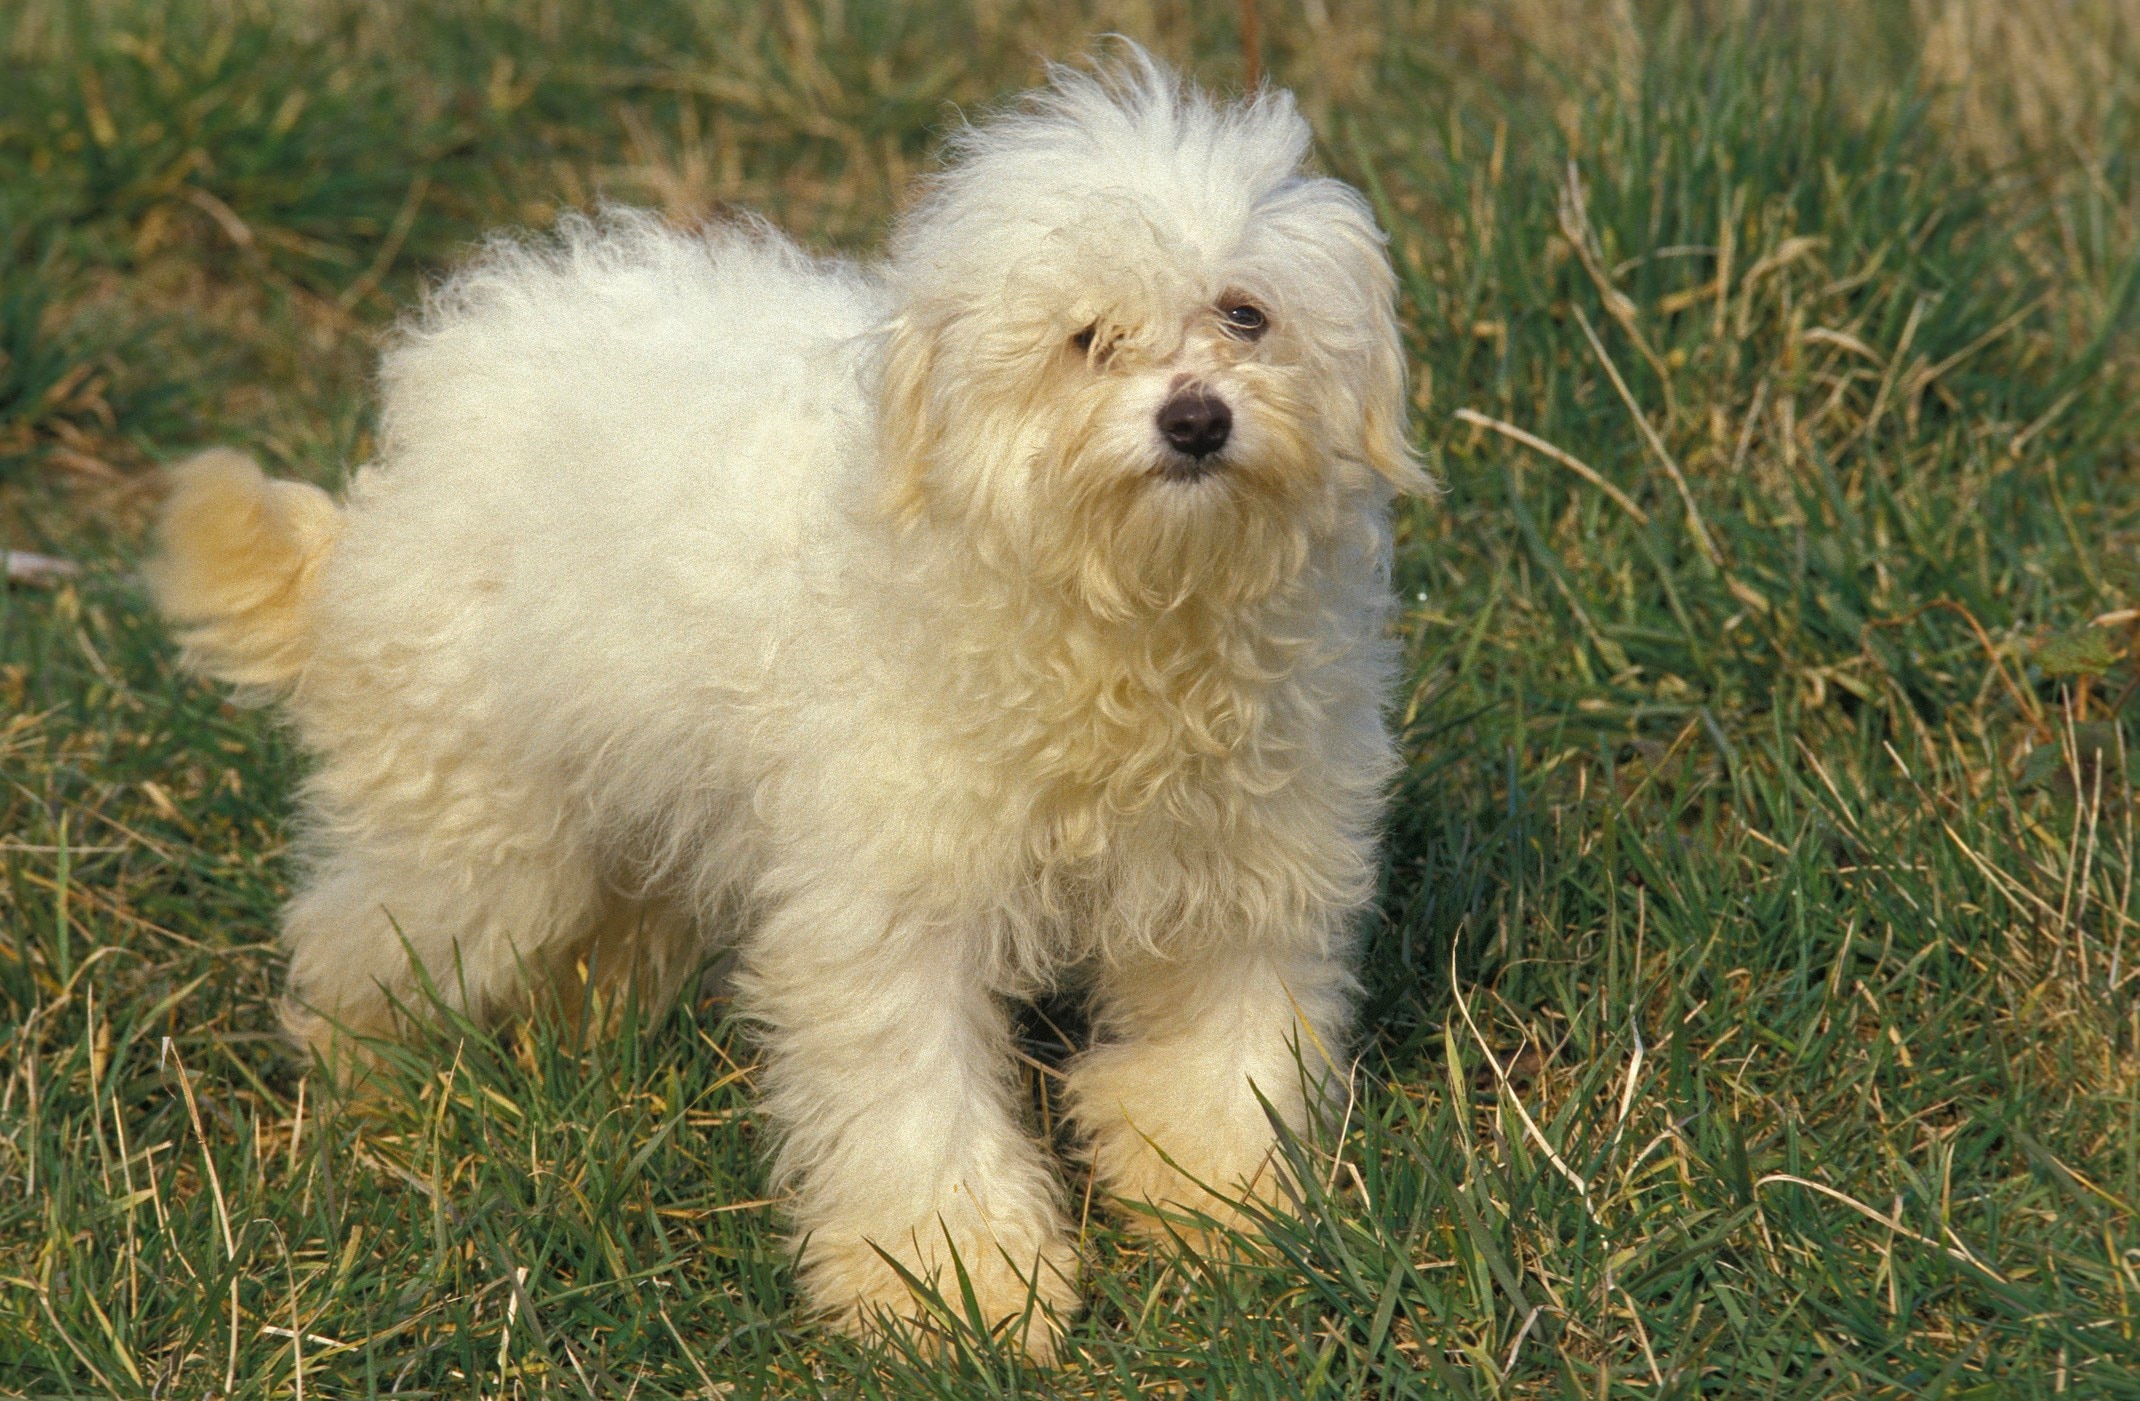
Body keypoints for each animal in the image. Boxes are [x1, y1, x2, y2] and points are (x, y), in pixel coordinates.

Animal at [150, 52, 1429, 1360]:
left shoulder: (1242, 880)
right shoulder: (886, 906)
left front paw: (1224, 1220)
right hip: (477, 833)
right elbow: (914, 1102)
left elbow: (1215, 1065)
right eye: (1088, 339)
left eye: (1244, 314)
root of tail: (401, 467)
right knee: (357, 936)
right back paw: (374, 1089)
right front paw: (954, 1292)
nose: (1196, 419)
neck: (1123, 618)